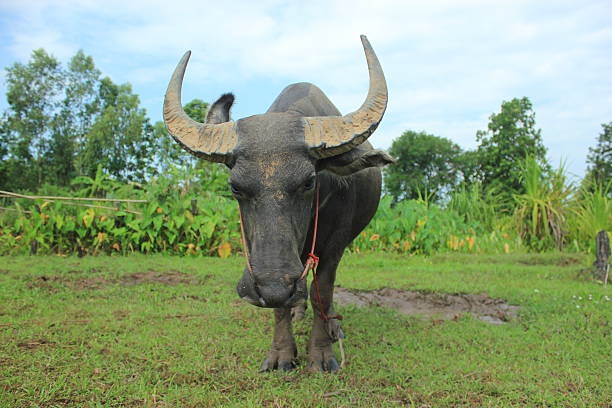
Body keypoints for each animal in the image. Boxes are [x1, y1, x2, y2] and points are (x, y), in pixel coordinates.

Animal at [164, 35, 392, 372]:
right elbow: (280, 306)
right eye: (234, 186)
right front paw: (282, 354)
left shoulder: (335, 245)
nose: (273, 288)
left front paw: (321, 355)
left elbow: (322, 291)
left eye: (309, 181)